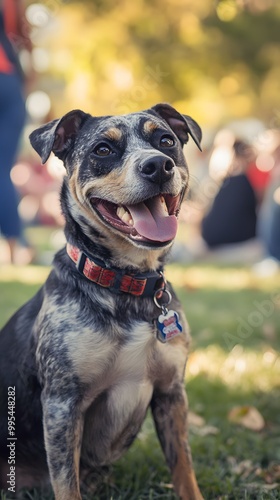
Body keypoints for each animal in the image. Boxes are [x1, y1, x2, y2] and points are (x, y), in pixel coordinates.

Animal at [0, 103, 203, 498]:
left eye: (166, 141)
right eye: (103, 150)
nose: (157, 165)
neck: (126, 284)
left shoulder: (172, 393)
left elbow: (184, 469)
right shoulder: (63, 405)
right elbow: (67, 483)